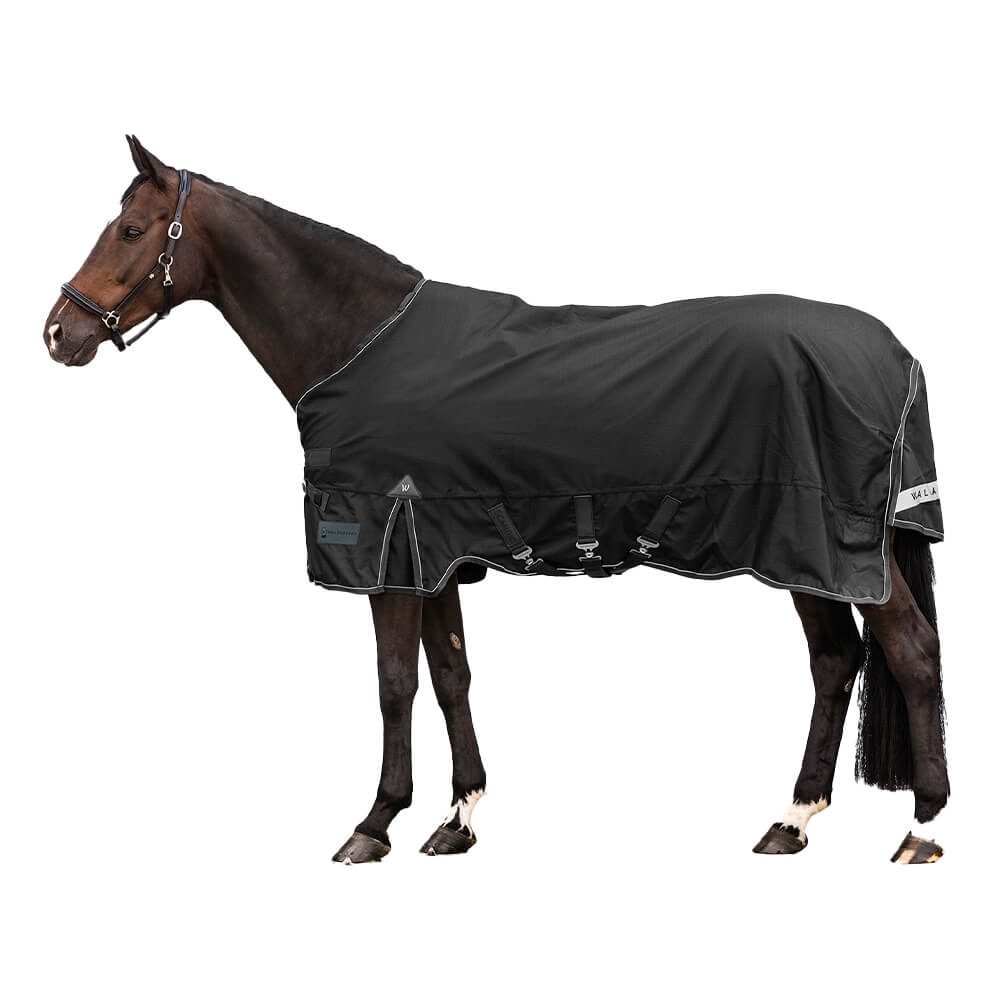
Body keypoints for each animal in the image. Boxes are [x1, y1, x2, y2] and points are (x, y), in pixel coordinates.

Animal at [43, 136, 949, 864]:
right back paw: (791, 821)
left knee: (909, 651)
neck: (359, 341)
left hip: (830, 543)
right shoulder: (437, 552)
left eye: (131, 231)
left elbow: (394, 685)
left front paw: (374, 824)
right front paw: (457, 819)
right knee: (834, 662)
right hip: (805, 555)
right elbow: (451, 675)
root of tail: (895, 355)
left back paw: (924, 829)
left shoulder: (387, 550)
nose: (58, 332)